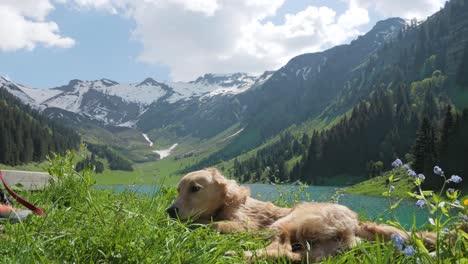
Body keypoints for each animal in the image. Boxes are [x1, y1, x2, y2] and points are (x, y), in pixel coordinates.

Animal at [168, 168, 438, 260]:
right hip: (320, 248)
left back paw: (235, 254)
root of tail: (355, 223)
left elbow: (210, 224)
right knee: (290, 255)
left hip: (288, 220)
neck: (228, 202)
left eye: (195, 188)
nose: (169, 211)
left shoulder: (247, 224)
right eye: (178, 189)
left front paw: (196, 226)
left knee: (281, 248)